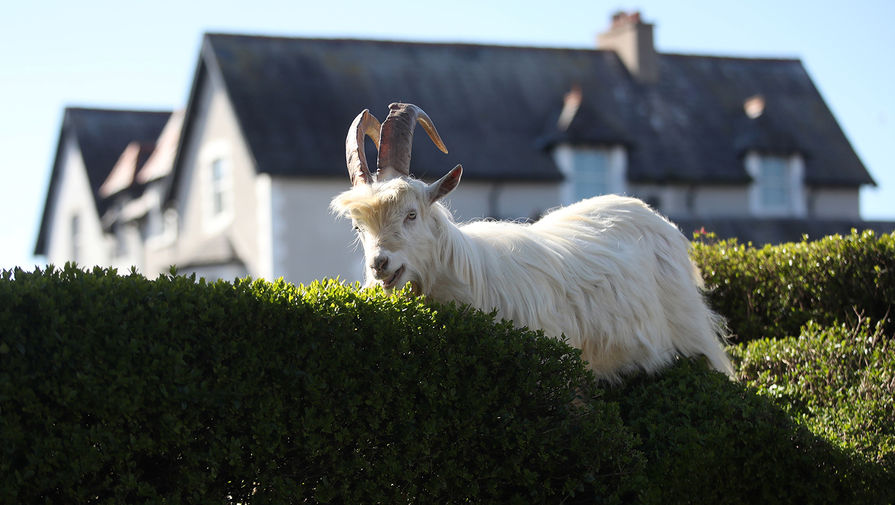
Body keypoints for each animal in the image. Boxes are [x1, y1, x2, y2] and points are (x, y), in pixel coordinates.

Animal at [332, 103, 732, 378]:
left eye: (412, 214)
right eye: (358, 228)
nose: (380, 264)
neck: (468, 276)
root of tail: (651, 214)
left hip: (692, 334)